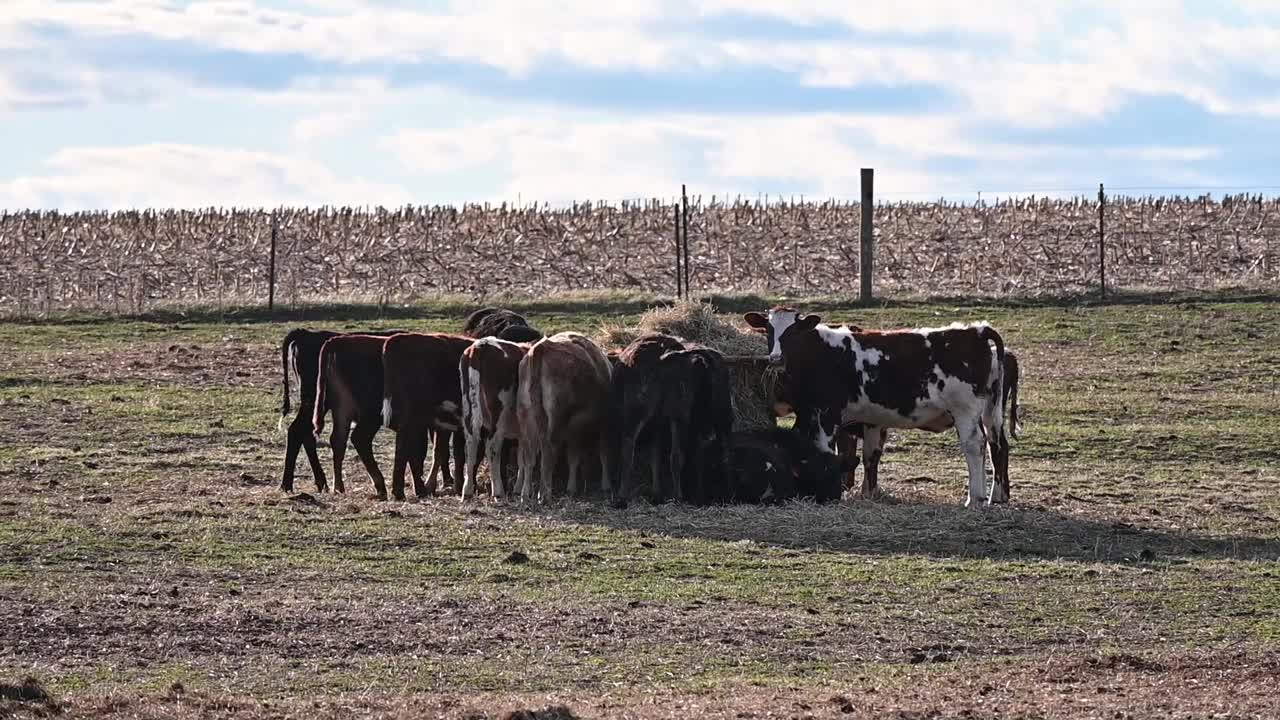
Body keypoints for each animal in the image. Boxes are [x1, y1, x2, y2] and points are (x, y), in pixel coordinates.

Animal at [384, 330, 481, 499]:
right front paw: (461, 486)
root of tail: (397, 339)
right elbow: (460, 454)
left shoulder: (447, 426)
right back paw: (409, 490)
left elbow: (442, 451)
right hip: (413, 417)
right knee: (406, 448)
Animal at [519, 330, 619, 502]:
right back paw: (545, 494)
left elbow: (573, 456)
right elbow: (602, 453)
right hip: (555, 423)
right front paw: (605, 485)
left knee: (529, 456)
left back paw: (526, 493)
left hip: (526, 419)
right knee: (548, 452)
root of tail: (542, 348)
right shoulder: (601, 424)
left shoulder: (574, 428)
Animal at [742, 307, 1008, 504]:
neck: (822, 353)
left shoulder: (828, 414)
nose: (775, 358)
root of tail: (976, 330)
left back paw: (974, 498)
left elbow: (827, 450)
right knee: (994, 444)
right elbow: (867, 455)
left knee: (974, 445)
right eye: (768, 330)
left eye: (793, 332)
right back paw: (992, 496)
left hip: (965, 410)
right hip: (988, 412)